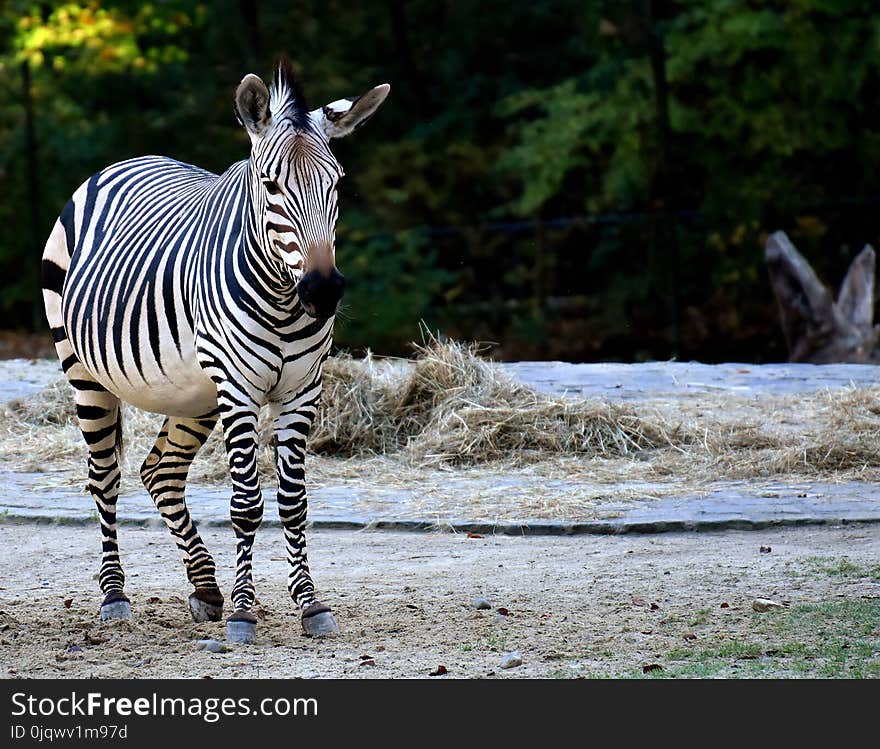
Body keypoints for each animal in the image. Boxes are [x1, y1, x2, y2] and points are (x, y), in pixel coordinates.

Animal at [40, 61, 392, 640]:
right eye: (270, 185)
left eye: (337, 184)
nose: (322, 292)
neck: (283, 298)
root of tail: (127, 160)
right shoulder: (240, 387)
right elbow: (247, 504)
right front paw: (246, 612)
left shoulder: (301, 390)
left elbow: (293, 503)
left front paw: (309, 603)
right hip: (85, 371)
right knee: (105, 478)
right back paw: (115, 596)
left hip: (195, 393)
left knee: (160, 472)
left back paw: (206, 588)